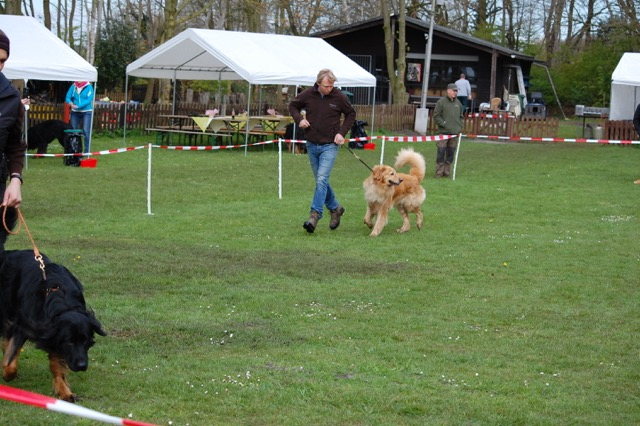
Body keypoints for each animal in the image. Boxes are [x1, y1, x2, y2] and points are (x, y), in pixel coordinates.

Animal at [0, 208, 105, 402]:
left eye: (85, 340)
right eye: (70, 342)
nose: (82, 365)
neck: (61, 299)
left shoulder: (55, 336)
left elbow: (57, 365)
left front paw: (64, 390)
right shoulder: (24, 325)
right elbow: (11, 362)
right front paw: (7, 373)